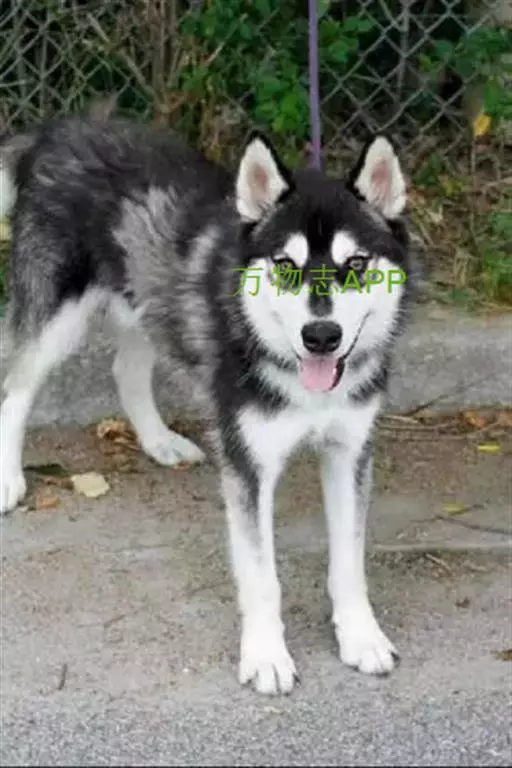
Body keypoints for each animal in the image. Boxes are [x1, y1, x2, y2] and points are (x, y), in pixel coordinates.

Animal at [0, 116, 417, 695]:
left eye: (355, 263)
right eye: (285, 266)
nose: (321, 336)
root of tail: (57, 130)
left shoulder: (349, 453)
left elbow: (349, 563)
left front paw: (360, 636)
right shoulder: (248, 465)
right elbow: (262, 577)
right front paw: (266, 656)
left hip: (150, 303)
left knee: (126, 369)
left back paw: (160, 443)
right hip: (57, 317)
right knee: (16, 387)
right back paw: (8, 479)